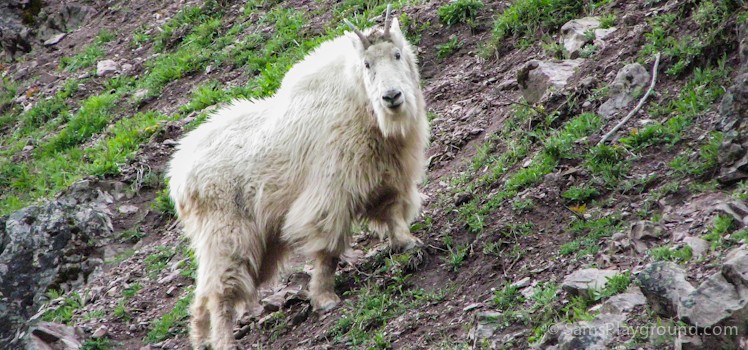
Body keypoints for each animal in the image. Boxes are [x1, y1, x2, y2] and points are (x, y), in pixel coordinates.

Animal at [167, 6, 430, 348]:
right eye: (367, 64)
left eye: (397, 54)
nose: (392, 96)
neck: (358, 100)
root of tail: (178, 177)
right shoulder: (331, 189)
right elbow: (327, 247)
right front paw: (325, 298)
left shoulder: (386, 174)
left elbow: (392, 211)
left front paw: (408, 243)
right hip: (226, 233)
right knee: (219, 292)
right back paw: (224, 341)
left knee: (201, 298)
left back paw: (201, 341)